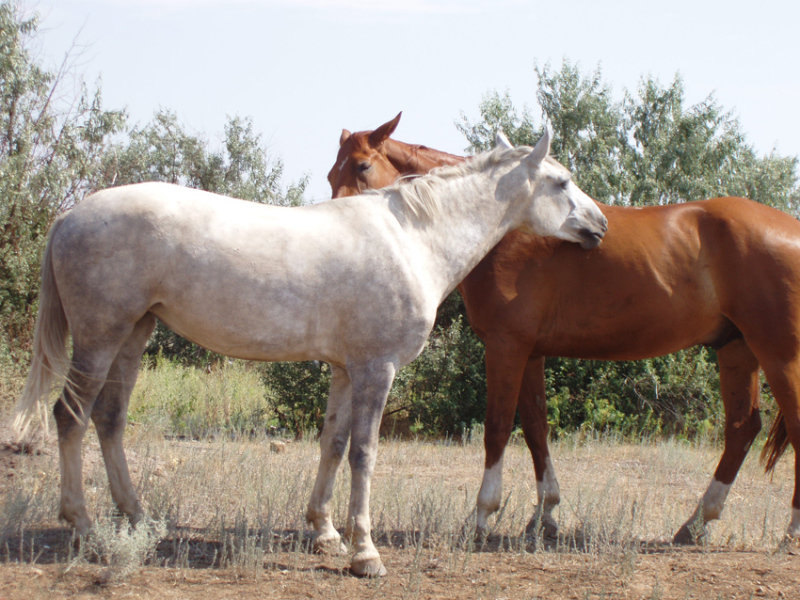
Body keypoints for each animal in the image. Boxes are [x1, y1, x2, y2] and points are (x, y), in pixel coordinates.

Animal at [14, 127, 608, 576]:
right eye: (561, 181)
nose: (599, 224)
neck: (411, 239)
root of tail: (70, 216)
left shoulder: (345, 370)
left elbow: (333, 444)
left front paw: (325, 533)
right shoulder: (376, 369)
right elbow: (365, 453)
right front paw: (365, 553)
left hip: (133, 335)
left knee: (109, 420)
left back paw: (136, 519)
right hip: (100, 336)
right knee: (70, 417)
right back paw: (84, 528)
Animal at [330, 113, 800, 548]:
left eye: (362, 166)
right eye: (333, 174)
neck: (508, 230)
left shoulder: (505, 347)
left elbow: (497, 427)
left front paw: (482, 516)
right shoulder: (531, 352)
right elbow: (537, 428)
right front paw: (545, 516)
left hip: (778, 353)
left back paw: (789, 531)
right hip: (736, 349)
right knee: (741, 429)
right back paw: (697, 523)